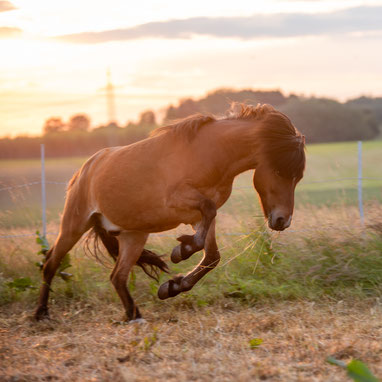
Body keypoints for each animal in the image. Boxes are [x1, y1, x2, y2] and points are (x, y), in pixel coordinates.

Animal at [35, 103, 304, 320]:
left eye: (297, 177)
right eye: (278, 171)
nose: (283, 220)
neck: (210, 154)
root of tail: (85, 169)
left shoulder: (199, 217)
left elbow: (212, 257)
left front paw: (172, 286)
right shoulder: (180, 201)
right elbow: (205, 226)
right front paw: (181, 252)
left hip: (133, 235)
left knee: (117, 276)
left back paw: (134, 316)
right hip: (74, 225)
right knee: (50, 263)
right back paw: (41, 314)